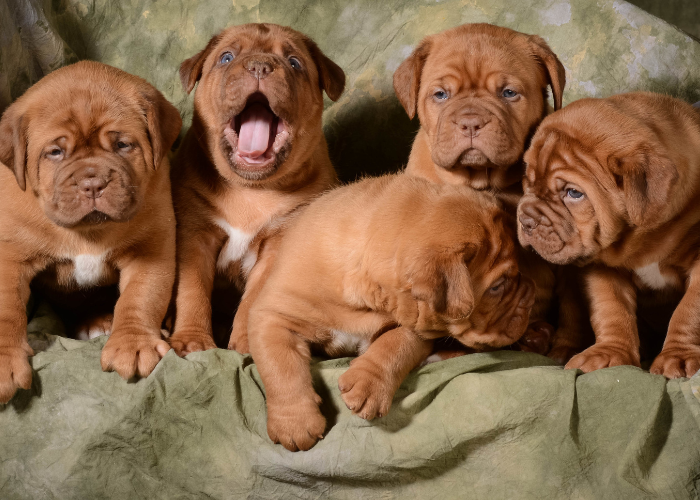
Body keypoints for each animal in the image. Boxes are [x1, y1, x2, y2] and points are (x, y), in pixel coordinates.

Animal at [0, 60, 183, 402]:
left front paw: (133, 344)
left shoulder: (151, 248)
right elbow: (7, 308)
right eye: (55, 152)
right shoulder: (9, 256)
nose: (93, 183)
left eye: (123, 145)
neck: (87, 232)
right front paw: (4, 359)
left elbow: (141, 297)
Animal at [170, 22, 344, 356]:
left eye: (294, 62)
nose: (260, 66)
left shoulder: (279, 243)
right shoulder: (194, 236)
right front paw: (192, 340)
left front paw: (250, 343)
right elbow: (192, 290)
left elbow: (254, 300)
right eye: (226, 57)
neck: (249, 189)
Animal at [247, 174, 536, 452]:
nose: (531, 296)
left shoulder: (416, 326)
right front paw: (294, 425)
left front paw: (368, 385)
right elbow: (281, 366)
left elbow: (396, 346)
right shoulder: (273, 316)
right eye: (497, 287)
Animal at [394, 23, 592, 362]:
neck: (482, 180)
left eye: (508, 93)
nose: (471, 122)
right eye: (441, 95)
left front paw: (565, 349)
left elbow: (572, 307)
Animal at [516, 92, 700, 376]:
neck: (644, 239)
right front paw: (610, 353)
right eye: (529, 180)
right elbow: (611, 309)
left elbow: (689, 311)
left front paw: (678, 355)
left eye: (573, 193)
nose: (525, 219)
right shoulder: (601, 266)